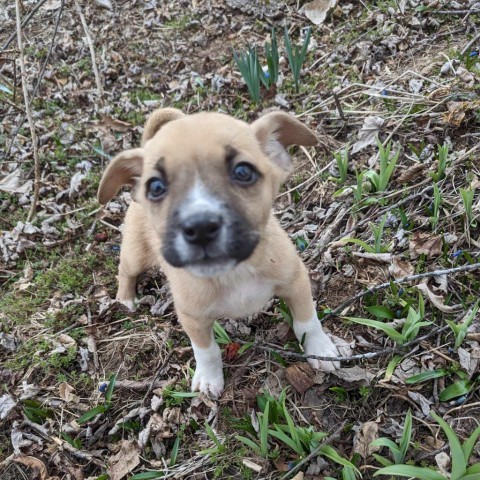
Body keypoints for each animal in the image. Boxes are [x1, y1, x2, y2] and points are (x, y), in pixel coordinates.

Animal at [96, 109, 338, 398]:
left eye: (243, 171)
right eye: (155, 187)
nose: (200, 227)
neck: (235, 272)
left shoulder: (296, 282)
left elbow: (307, 322)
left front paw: (321, 349)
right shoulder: (192, 318)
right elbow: (206, 351)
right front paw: (209, 378)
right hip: (136, 254)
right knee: (125, 270)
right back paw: (125, 298)